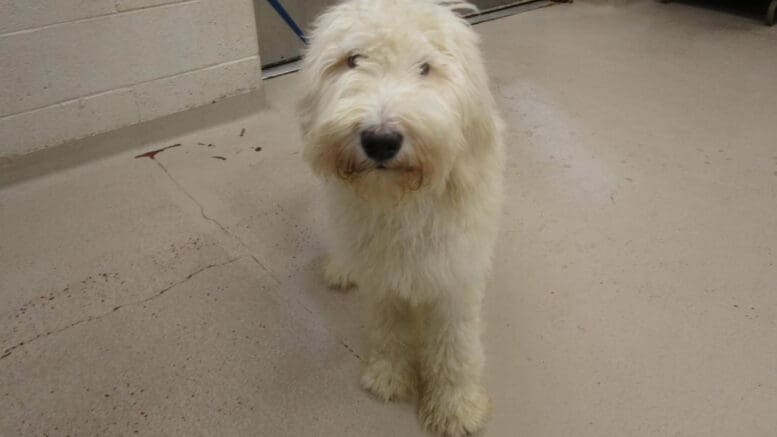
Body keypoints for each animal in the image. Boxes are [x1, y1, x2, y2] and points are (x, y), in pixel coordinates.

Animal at [298, 1, 504, 434]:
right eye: (353, 60)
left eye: (425, 67)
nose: (380, 140)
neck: (400, 203)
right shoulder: (381, 276)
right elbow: (387, 327)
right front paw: (389, 376)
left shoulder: (455, 278)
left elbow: (455, 346)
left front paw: (456, 407)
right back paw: (342, 268)